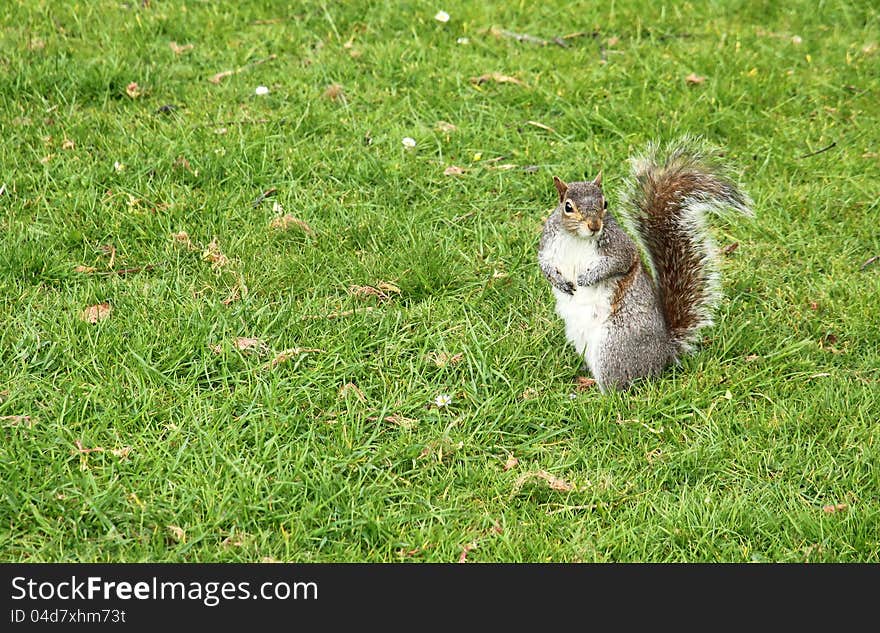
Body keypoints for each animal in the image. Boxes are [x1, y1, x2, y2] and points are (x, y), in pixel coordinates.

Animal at [540, 135, 752, 388]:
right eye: (568, 207)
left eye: (605, 204)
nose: (594, 225)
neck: (577, 238)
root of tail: (664, 353)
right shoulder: (548, 246)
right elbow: (544, 266)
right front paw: (559, 282)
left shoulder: (621, 248)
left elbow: (618, 264)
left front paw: (587, 278)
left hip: (613, 346)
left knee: (618, 384)